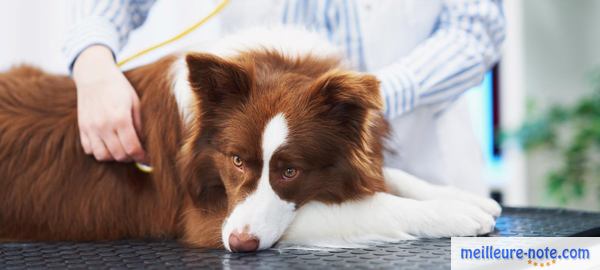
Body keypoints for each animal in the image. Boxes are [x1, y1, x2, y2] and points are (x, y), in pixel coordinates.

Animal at [0, 26, 500, 252]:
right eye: (237, 160)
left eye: (291, 170)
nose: (240, 244)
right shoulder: (206, 217)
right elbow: (367, 206)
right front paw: (455, 213)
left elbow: (389, 177)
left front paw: (463, 196)